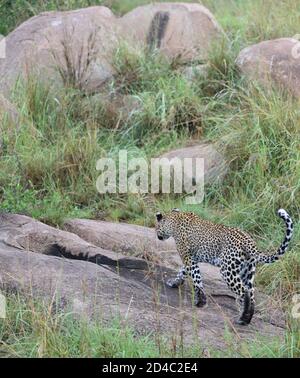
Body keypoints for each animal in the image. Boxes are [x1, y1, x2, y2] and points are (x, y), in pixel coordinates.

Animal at [156, 207, 294, 324]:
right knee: (251, 293)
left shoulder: (188, 258)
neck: (175, 220)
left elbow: (196, 279)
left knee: (244, 293)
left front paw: (200, 302)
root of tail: (250, 243)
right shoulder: (192, 259)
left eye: (156, 227)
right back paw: (246, 318)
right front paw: (174, 282)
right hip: (247, 272)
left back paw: (242, 318)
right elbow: (183, 272)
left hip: (227, 271)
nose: (158, 236)